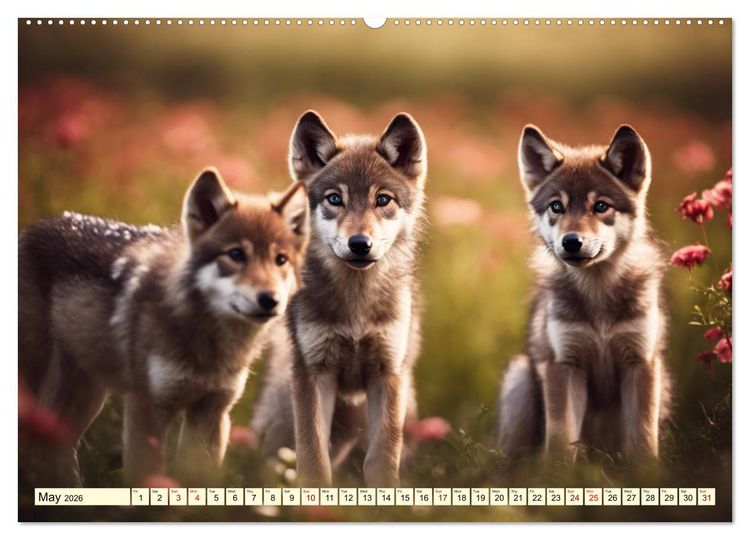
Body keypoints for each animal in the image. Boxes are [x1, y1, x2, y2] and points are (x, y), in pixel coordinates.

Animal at [19, 168, 307, 485]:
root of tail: (40, 224)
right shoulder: (146, 408)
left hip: (86, 396)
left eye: (280, 260)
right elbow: (144, 478)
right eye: (236, 255)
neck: (210, 347)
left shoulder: (212, 412)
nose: (270, 300)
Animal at [252, 110, 427, 487]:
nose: (360, 243)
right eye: (335, 199)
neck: (356, 307)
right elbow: (312, 459)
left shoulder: (388, 374)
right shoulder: (313, 374)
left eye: (383, 200)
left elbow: (382, 460)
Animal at [496, 124, 670, 463]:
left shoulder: (641, 362)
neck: (598, 294)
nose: (571, 241)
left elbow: (643, 441)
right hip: (520, 379)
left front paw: (647, 474)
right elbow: (560, 443)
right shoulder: (563, 366)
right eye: (557, 206)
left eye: (601, 206)